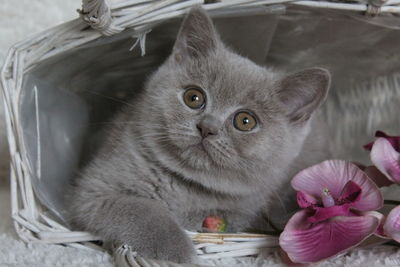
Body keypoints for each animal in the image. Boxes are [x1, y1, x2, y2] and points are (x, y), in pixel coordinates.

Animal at [69, 7, 332, 264]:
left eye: (245, 121)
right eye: (193, 97)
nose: (207, 127)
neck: (187, 185)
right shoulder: (93, 190)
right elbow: (141, 209)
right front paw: (180, 252)